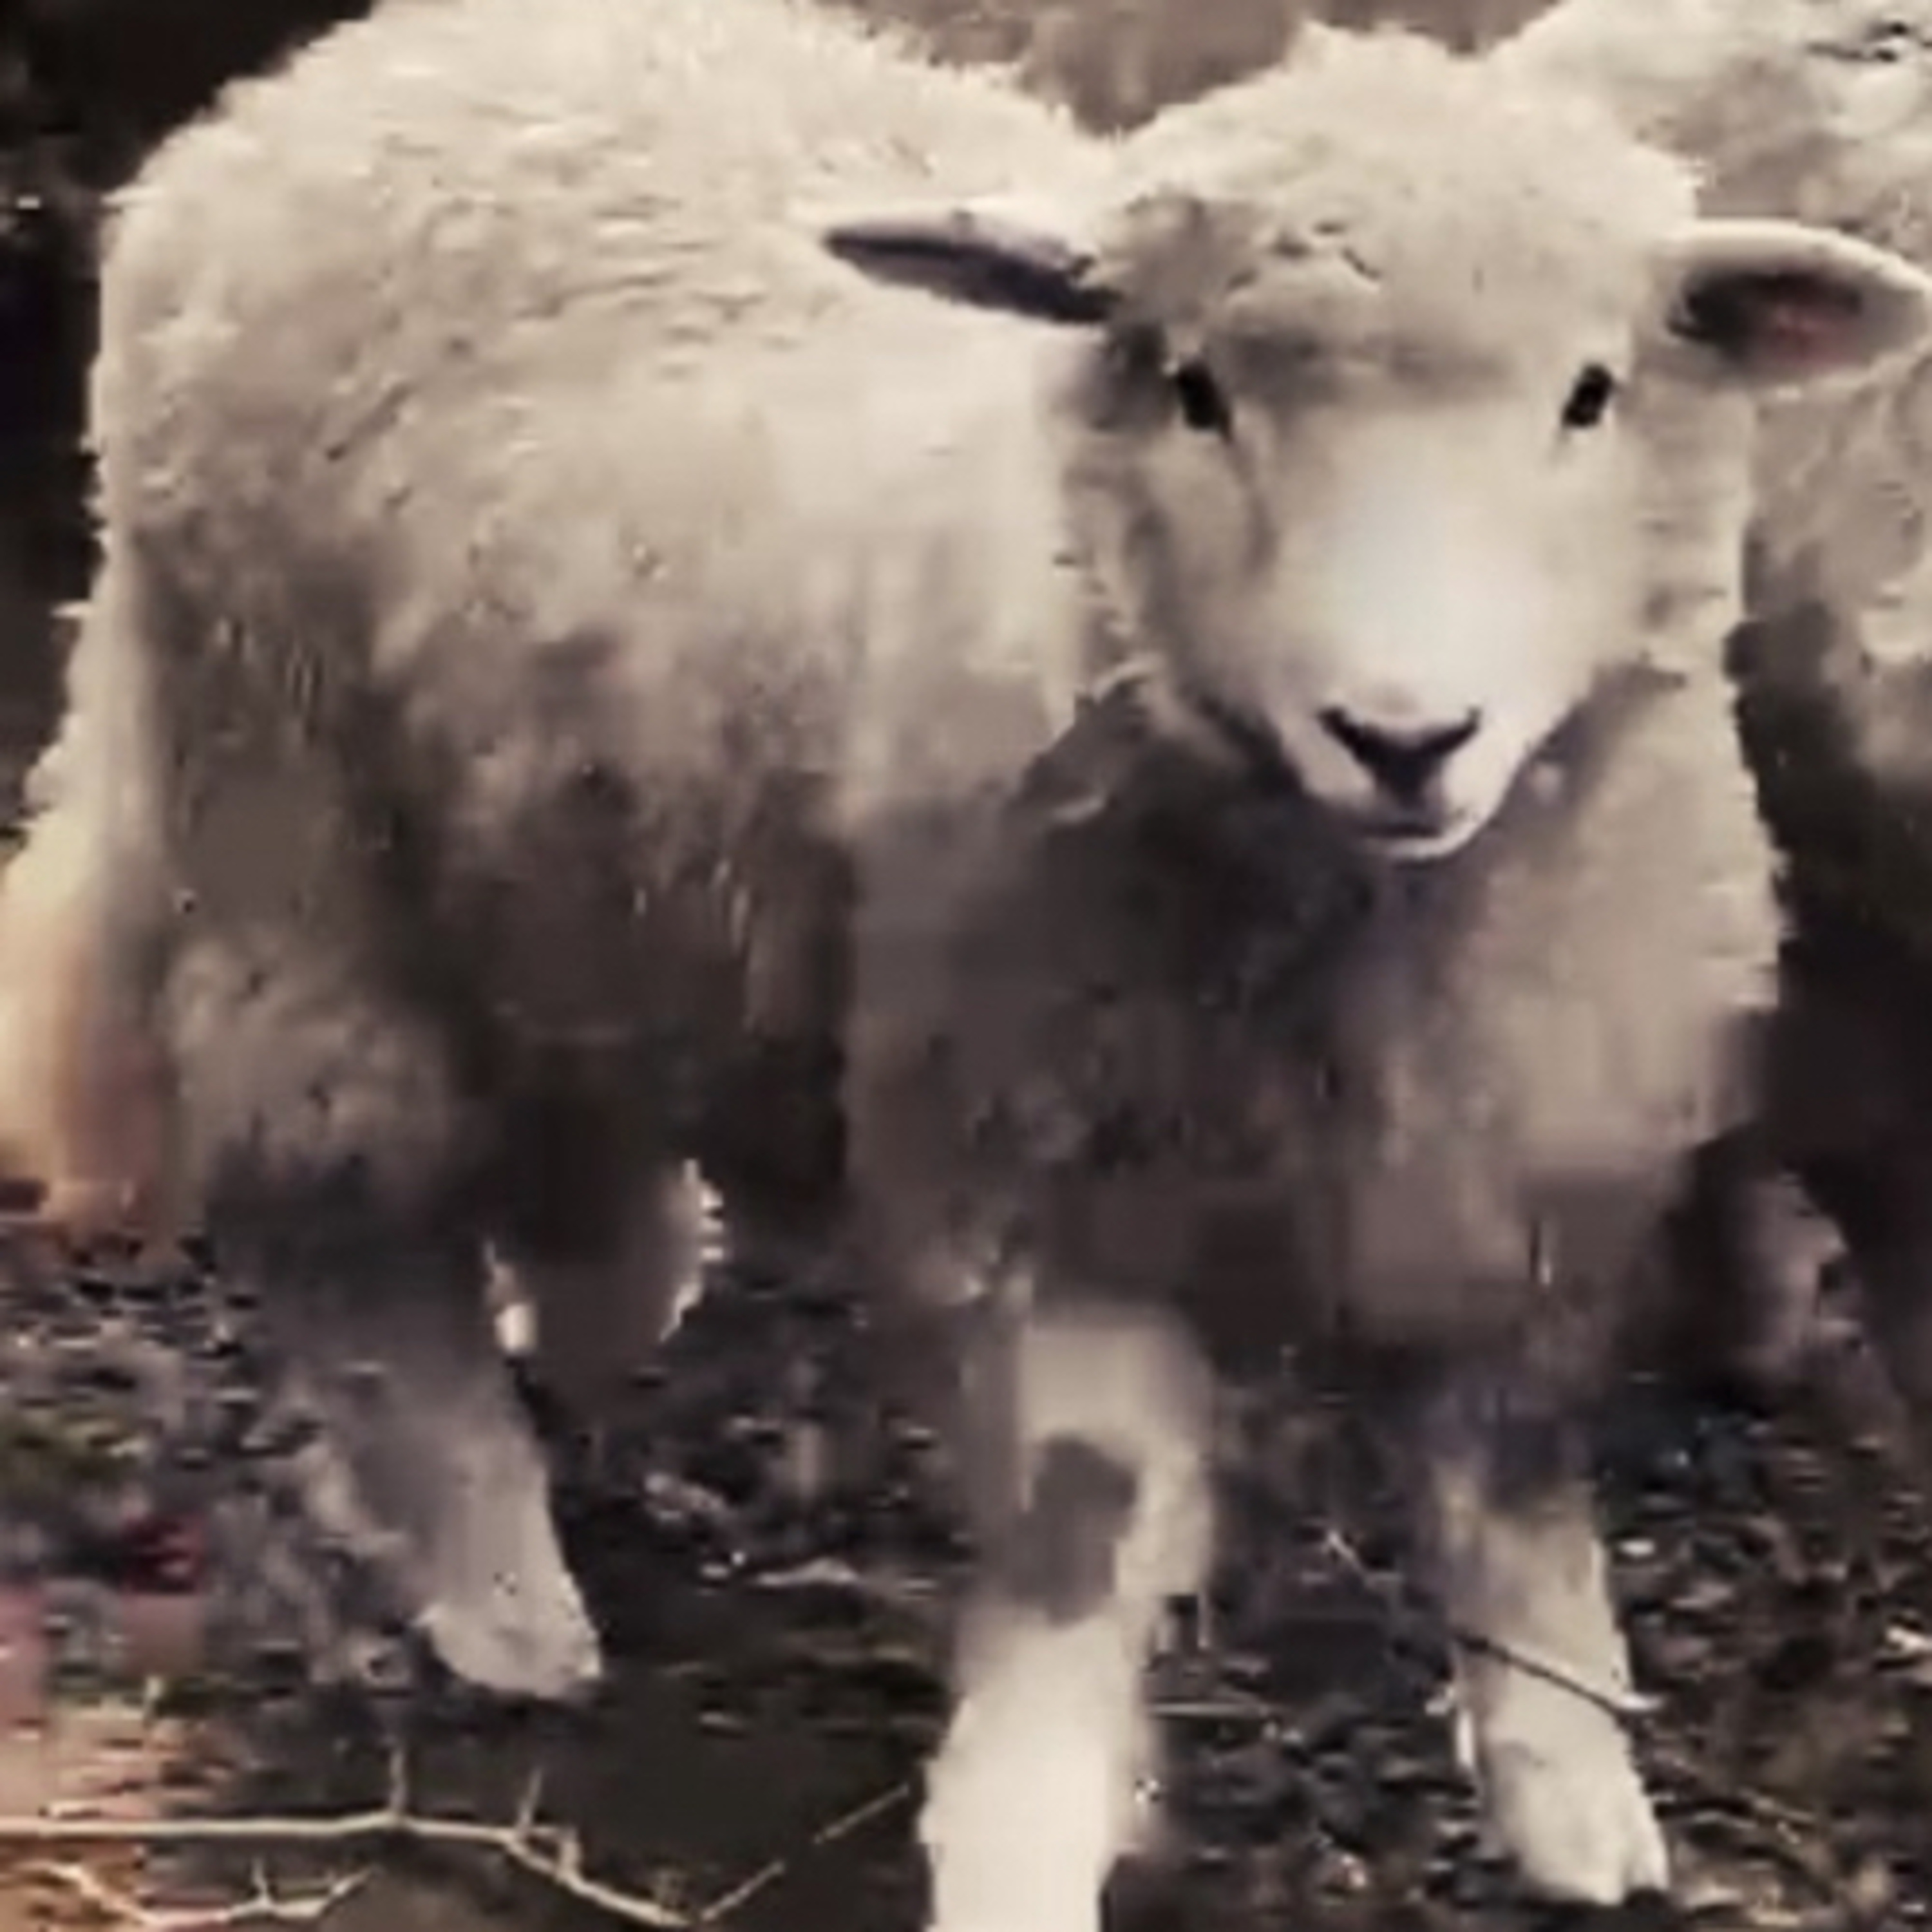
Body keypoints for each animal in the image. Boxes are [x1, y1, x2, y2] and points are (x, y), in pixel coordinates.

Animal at [2, 0, 1930, 1916]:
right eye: (1196, 389)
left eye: (1591, 392)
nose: (1402, 736)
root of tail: (345, 68)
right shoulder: (1033, 1179)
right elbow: (1083, 1530)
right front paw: (1022, 1834)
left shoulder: (1518, 1169)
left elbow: (1514, 1497)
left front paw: (1575, 1795)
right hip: (295, 835)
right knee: (357, 1229)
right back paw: (499, 1589)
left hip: (550, 848)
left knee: (567, 1119)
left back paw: (598, 1309)